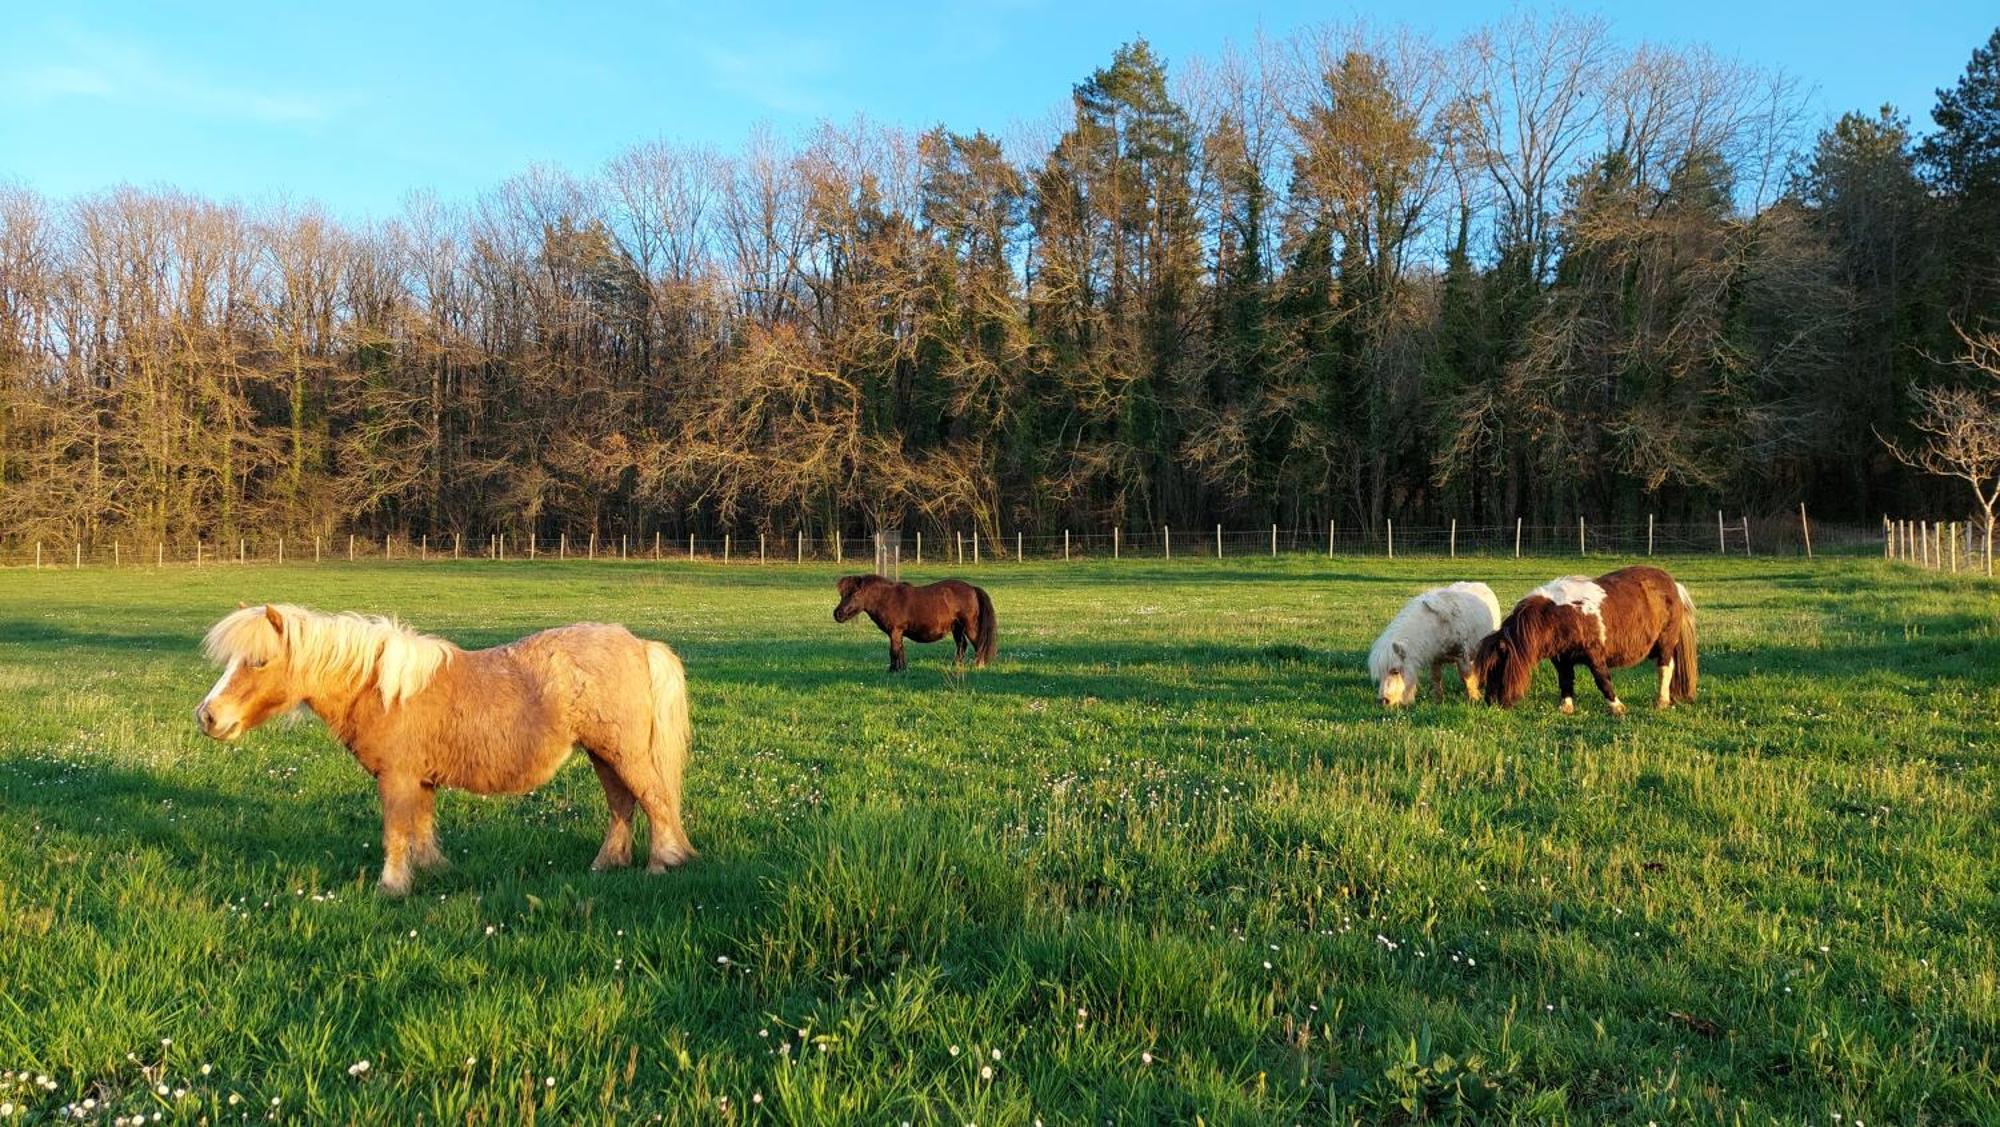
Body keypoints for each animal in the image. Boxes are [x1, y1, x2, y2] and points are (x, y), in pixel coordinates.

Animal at [197, 603, 696, 895]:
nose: (207, 716)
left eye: (259, 661)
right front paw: (433, 872)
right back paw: (607, 865)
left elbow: (396, 832)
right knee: (622, 804)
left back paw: (662, 863)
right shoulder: (419, 780)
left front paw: (391, 887)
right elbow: (421, 828)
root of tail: (638, 643)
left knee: (654, 800)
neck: (382, 690)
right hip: (603, 754)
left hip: (624, 753)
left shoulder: (396, 778)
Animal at [832, 575, 996, 675]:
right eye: (842, 595)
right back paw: (954, 665)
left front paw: (893, 670)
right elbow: (900, 651)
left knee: (978, 644)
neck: (887, 598)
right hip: (957, 628)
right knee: (962, 647)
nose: (837, 614)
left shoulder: (895, 631)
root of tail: (972, 588)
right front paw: (902, 669)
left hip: (969, 627)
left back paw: (978, 665)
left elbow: (893, 652)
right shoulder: (898, 633)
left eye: (854, 594)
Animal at [1376, 579, 1504, 703]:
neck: (1437, 627)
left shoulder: (1462, 655)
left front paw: (1474, 699)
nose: (1384, 701)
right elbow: (1436, 677)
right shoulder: (1435, 659)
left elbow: (1466, 676)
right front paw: (1438, 699)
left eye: (1395, 671)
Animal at [1472, 567, 1704, 719]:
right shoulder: (1561, 660)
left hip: (1665, 642)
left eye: (1496, 668)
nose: (1490, 702)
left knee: (1665, 668)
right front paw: (1566, 708)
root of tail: (1674, 585)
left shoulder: (1595, 656)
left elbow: (1603, 680)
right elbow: (1566, 681)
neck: (1559, 616)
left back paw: (1662, 701)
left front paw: (1616, 707)